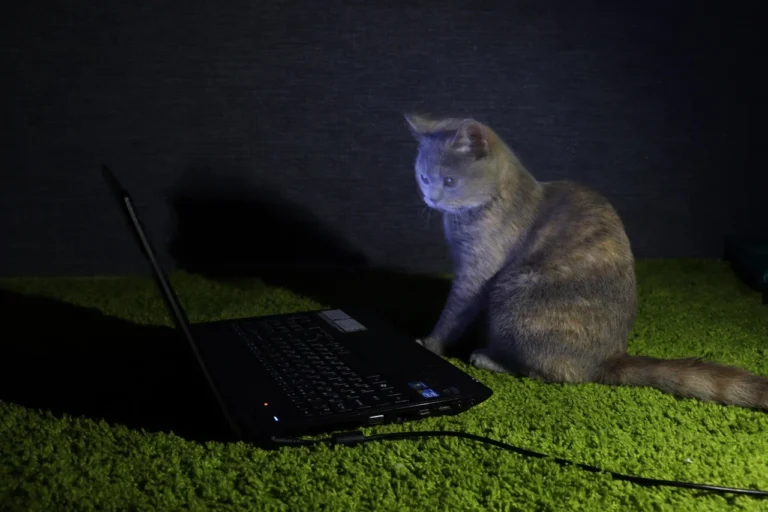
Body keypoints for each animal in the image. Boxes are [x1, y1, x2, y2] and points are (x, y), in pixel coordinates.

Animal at [405, 113, 768, 410]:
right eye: (423, 178)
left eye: (449, 181)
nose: (430, 198)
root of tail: (610, 359)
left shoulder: (477, 273)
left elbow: (453, 314)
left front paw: (430, 344)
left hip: (515, 299)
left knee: (550, 372)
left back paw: (487, 358)